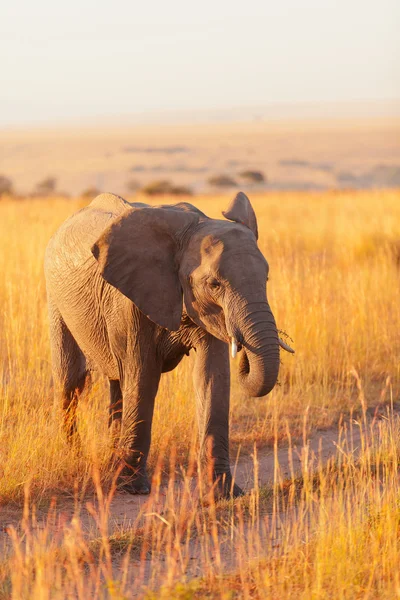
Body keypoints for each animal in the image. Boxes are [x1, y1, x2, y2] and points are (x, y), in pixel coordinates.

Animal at [44, 191, 294, 496]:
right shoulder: (129, 302)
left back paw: (111, 457)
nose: (244, 348)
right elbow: (142, 377)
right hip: (56, 302)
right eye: (214, 285)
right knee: (71, 381)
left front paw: (223, 494)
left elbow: (211, 378)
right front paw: (131, 488)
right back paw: (74, 455)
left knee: (116, 383)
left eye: (266, 278)